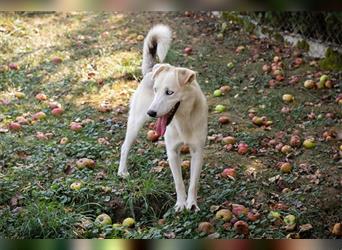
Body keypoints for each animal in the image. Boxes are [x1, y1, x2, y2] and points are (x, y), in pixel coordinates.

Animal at [117, 24, 208, 211]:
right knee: (124, 147)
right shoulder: (172, 152)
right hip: (135, 123)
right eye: (156, 90)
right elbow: (179, 182)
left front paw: (191, 204)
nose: (151, 113)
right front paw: (180, 204)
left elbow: (193, 183)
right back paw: (122, 171)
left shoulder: (197, 151)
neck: (183, 121)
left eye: (169, 92)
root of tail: (151, 70)